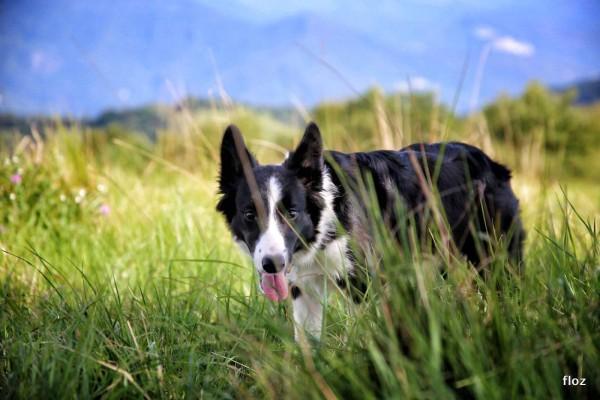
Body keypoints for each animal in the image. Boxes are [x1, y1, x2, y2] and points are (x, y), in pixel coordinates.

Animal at [217, 122, 524, 340]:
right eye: (249, 215)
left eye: (292, 213)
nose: (273, 264)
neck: (328, 223)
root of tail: (492, 164)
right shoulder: (304, 290)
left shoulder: (364, 286)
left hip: (497, 261)